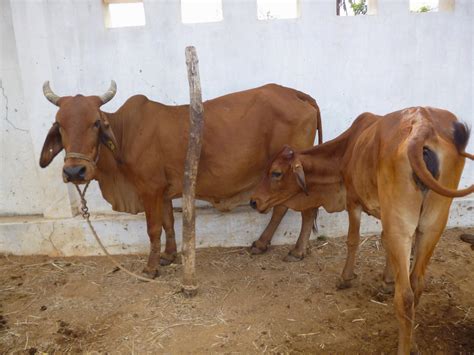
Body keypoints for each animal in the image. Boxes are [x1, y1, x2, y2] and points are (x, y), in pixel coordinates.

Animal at [39, 80, 322, 278]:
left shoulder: (150, 189)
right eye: (59, 124)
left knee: (306, 209)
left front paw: (151, 267)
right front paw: (168, 255)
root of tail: (296, 93)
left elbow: (153, 228)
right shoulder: (163, 191)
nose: (74, 172)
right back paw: (262, 244)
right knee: (281, 208)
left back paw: (297, 251)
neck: (125, 133)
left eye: (96, 123)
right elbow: (168, 223)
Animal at [250, 106, 472, 355]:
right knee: (416, 285)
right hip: (432, 224)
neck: (347, 149)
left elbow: (353, 240)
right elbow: (385, 244)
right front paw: (387, 281)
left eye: (276, 173)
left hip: (402, 222)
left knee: (405, 297)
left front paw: (346, 278)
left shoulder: (353, 202)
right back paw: (413, 341)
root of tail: (423, 127)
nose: (254, 201)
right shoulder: (385, 213)